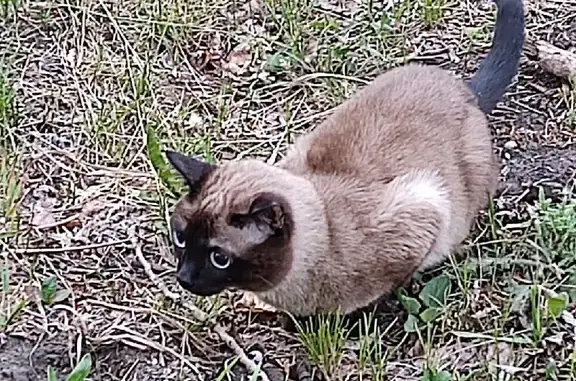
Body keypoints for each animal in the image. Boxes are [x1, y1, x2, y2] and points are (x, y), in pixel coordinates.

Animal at [164, 0, 524, 316]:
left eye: (219, 258)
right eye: (180, 238)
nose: (184, 278)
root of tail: (466, 91)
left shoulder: (422, 211)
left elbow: (390, 284)